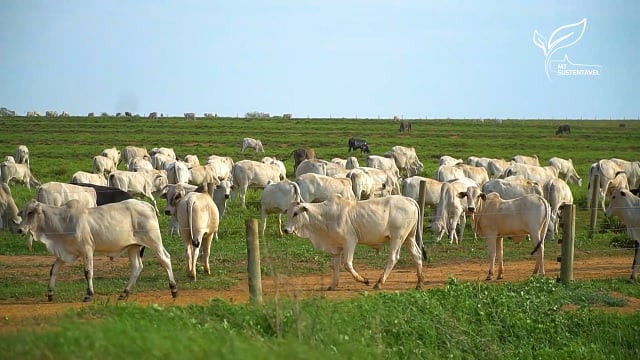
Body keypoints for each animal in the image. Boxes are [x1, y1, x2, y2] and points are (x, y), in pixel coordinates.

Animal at [17, 198, 178, 302]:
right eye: (22, 213)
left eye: (31, 212)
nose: (20, 230)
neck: (62, 221)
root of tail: (147, 206)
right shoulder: (64, 252)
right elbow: (54, 270)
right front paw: (50, 293)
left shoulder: (87, 249)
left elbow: (88, 272)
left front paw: (89, 295)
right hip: (133, 247)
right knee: (137, 267)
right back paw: (124, 293)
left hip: (154, 241)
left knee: (165, 259)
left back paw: (174, 289)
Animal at [284, 194, 424, 290]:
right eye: (288, 213)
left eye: (295, 213)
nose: (285, 230)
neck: (325, 216)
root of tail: (409, 200)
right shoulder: (336, 248)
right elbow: (335, 266)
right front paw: (333, 285)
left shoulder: (350, 242)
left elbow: (347, 264)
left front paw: (364, 280)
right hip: (409, 238)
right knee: (417, 255)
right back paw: (419, 282)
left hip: (397, 238)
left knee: (393, 258)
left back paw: (379, 283)